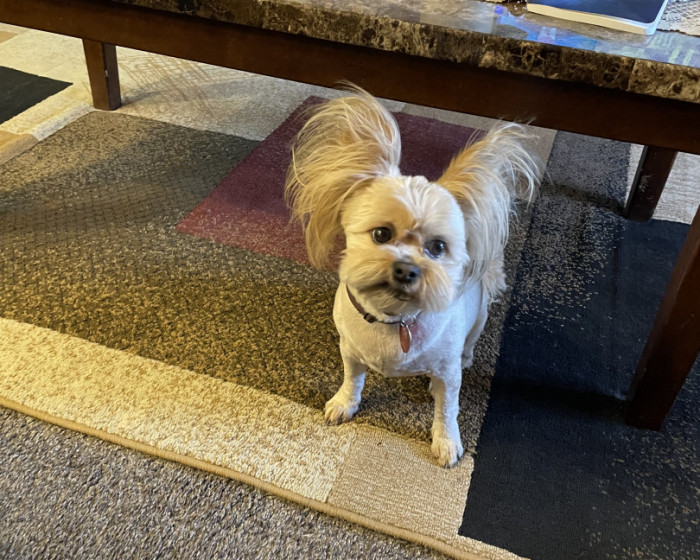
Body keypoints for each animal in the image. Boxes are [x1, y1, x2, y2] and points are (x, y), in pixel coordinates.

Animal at [285, 88, 540, 467]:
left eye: (437, 247)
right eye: (381, 234)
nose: (406, 268)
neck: (394, 320)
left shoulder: (449, 375)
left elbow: (447, 410)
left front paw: (446, 442)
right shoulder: (350, 351)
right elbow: (352, 381)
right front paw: (344, 404)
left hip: (478, 320)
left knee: (468, 347)